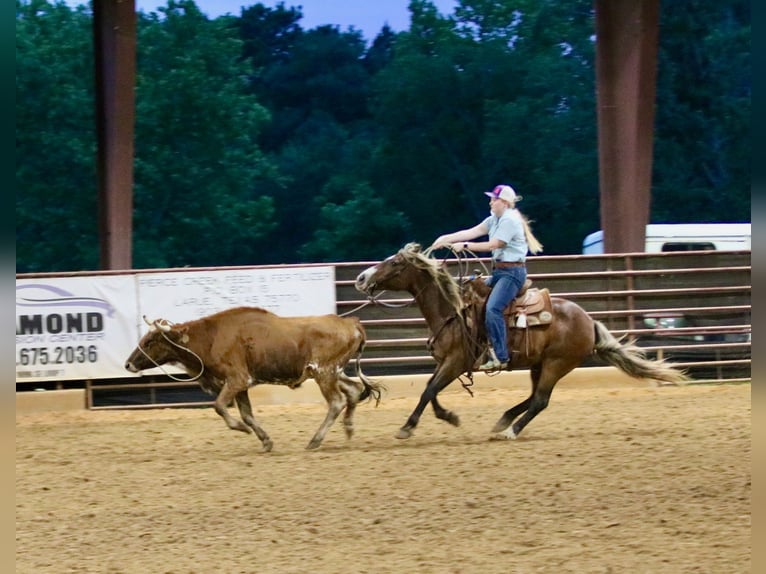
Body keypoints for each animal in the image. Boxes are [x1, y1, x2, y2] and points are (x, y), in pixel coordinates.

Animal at [354, 243, 688, 440]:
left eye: (395, 263)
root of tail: (588, 321)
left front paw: (408, 427)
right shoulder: (445, 362)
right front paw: (448, 416)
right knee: (533, 397)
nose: (360, 278)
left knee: (540, 400)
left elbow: (429, 390)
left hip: (557, 363)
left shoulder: (457, 362)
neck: (451, 310)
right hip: (539, 365)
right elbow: (430, 389)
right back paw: (503, 421)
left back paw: (511, 430)